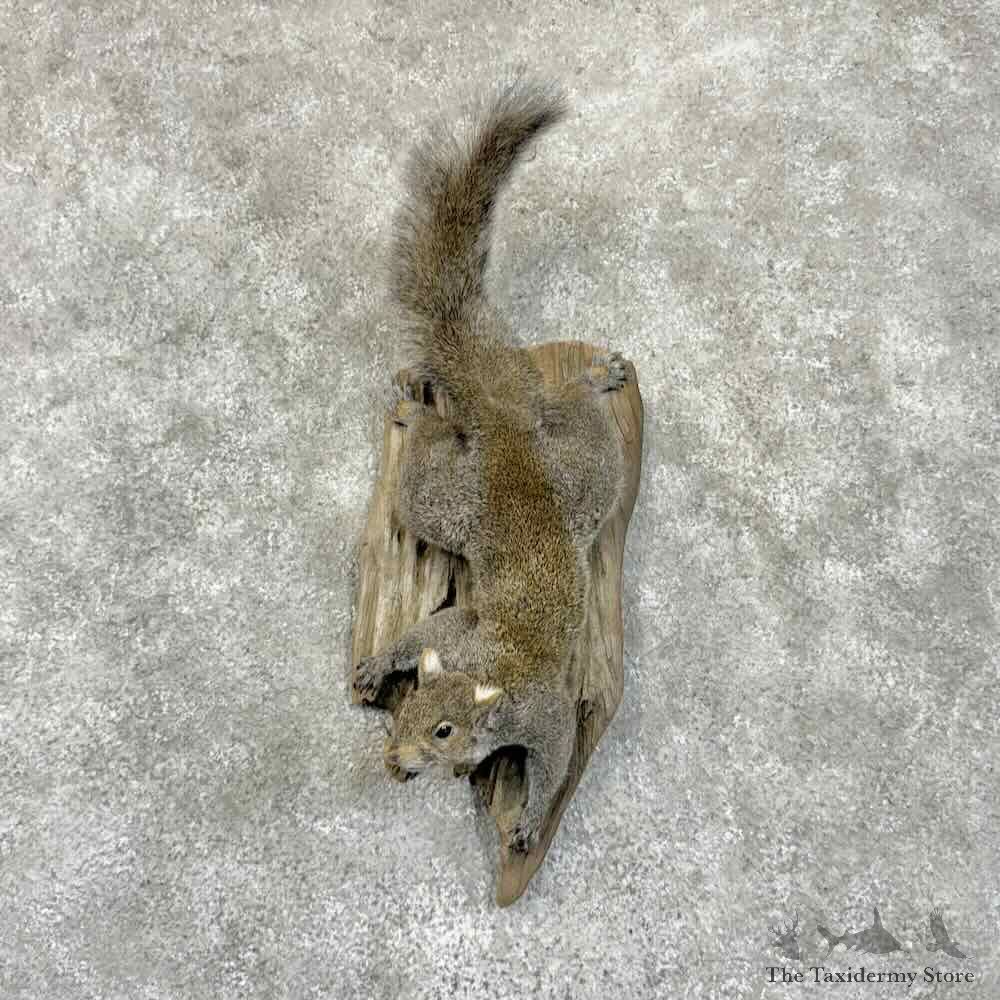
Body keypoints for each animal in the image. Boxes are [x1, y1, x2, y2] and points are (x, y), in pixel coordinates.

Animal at [354, 78, 628, 852]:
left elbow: (558, 759)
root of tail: (507, 436)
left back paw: (592, 378)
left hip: (579, 481)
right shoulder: (456, 632)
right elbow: (425, 633)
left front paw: (529, 822)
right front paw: (382, 660)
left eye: (445, 730)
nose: (400, 755)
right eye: (408, 707)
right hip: (459, 503)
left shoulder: (547, 715)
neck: (488, 674)